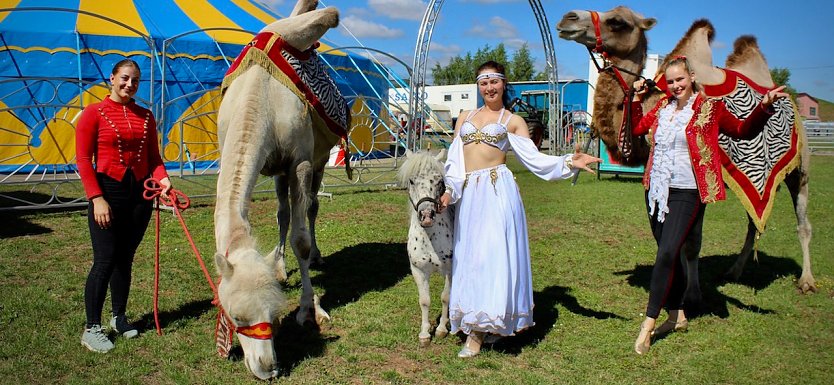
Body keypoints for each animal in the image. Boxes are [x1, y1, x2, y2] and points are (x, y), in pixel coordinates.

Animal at [211, 0, 348, 378]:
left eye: (274, 315)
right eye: (236, 316)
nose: (267, 367)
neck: (259, 99)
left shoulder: (299, 161)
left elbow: (301, 238)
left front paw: (310, 309)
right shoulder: (263, 162)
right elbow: (281, 218)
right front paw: (279, 269)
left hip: (318, 161)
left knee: (311, 208)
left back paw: (316, 256)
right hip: (278, 173)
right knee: (284, 213)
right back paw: (281, 266)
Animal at [394, 149, 448, 344]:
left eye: (440, 181)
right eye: (411, 181)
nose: (426, 215)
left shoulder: (450, 270)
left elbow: (445, 297)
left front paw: (441, 329)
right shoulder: (418, 270)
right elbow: (424, 300)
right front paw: (424, 334)